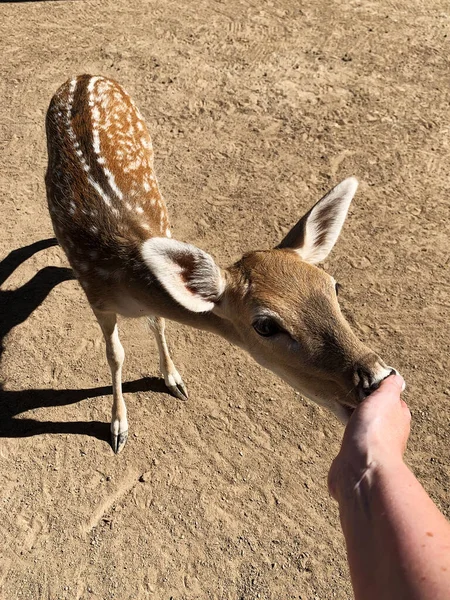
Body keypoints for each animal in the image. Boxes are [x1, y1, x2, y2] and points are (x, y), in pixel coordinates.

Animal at [45, 75, 400, 452]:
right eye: (265, 325)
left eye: (334, 285)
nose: (377, 378)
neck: (123, 280)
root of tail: (83, 77)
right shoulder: (96, 295)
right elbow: (115, 354)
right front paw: (118, 427)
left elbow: (159, 324)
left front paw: (173, 378)